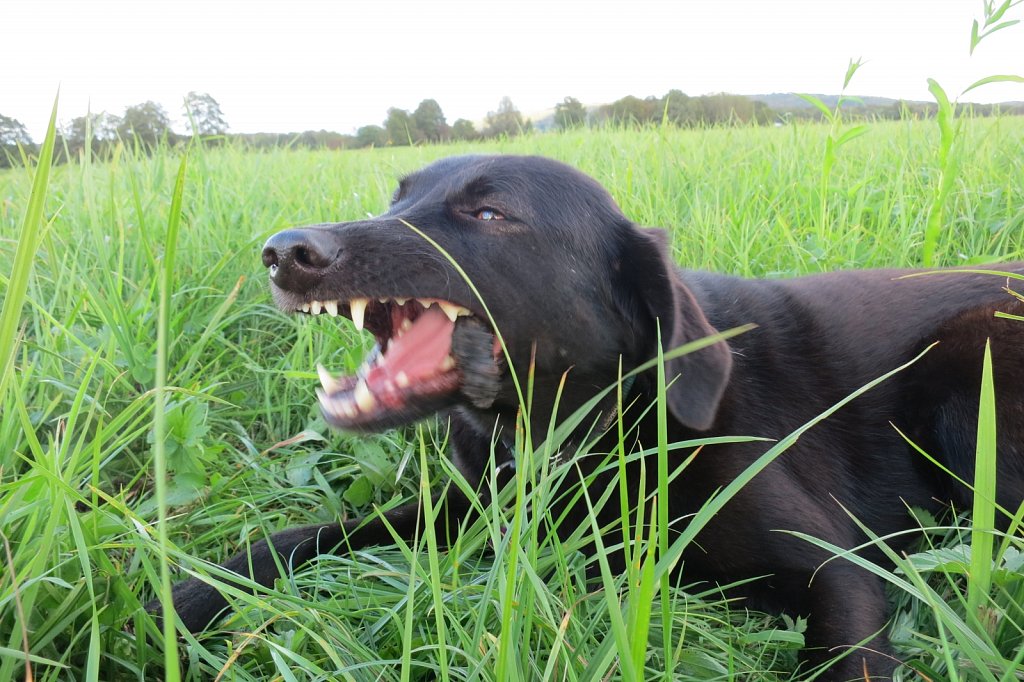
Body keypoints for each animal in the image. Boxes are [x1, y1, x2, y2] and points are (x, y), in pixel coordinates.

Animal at [153, 155, 1024, 679]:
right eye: (396, 197)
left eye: (490, 213)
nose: (284, 252)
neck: (585, 432)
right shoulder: (468, 510)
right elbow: (313, 534)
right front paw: (188, 594)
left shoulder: (836, 571)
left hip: (971, 356)